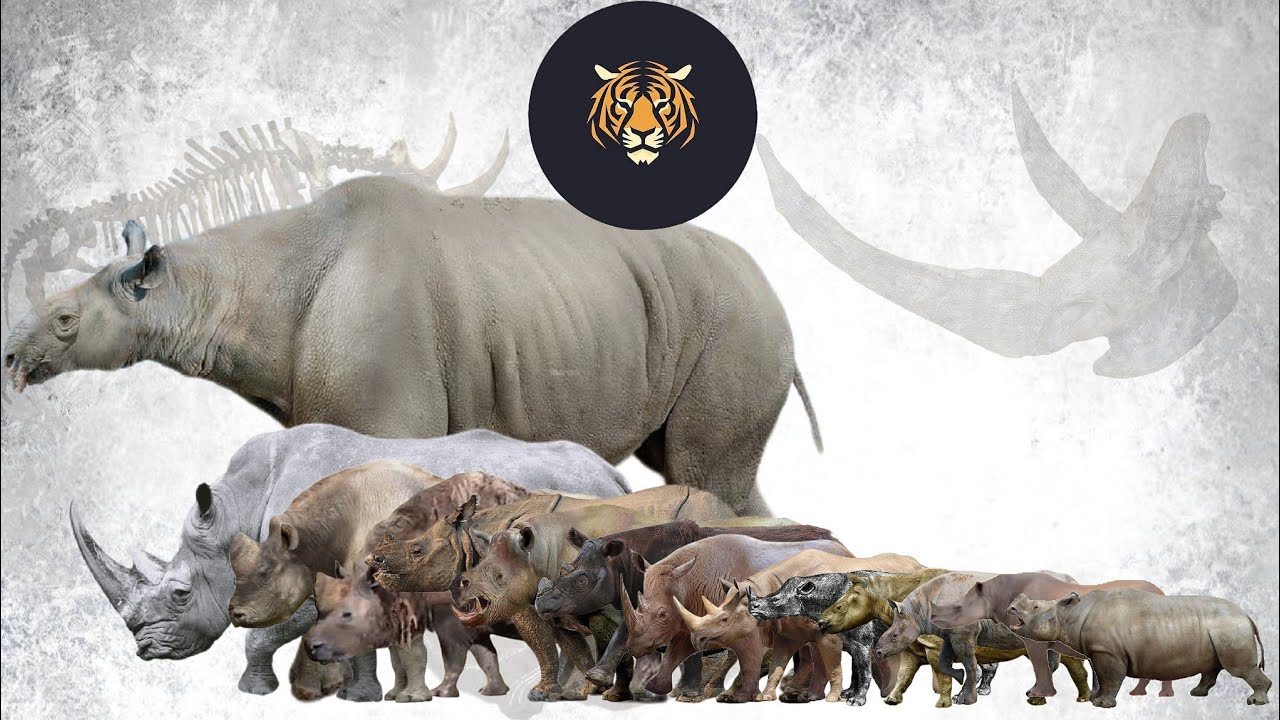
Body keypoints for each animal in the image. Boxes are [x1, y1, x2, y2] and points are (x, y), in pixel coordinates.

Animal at [4, 165, 822, 516]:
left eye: (67, 323)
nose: (11, 359)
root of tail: (775, 291)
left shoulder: (385, 417)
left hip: (740, 321)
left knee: (703, 473)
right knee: (708, 474)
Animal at [68, 423, 629, 697]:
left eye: (180, 593)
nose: (146, 650)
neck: (237, 512)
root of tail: (612, 473)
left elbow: (263, 632)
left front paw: (255, 692)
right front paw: (352, 694)